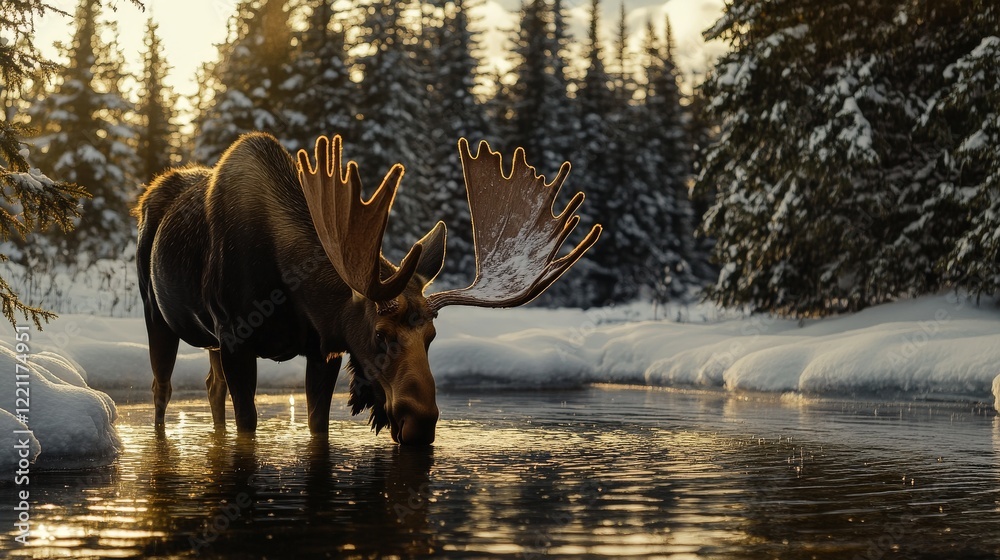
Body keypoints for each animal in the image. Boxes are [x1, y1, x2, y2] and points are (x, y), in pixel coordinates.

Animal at [135, 133, 601, 445]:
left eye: (432, 337)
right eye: (381, 334)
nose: (420, 423)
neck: (288, 292)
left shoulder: (322, 346)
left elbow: (317, 426)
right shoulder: (235, 335)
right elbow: (247, 426)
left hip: (210, 339)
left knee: (211, 388)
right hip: (157, 312)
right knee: (161, 389)